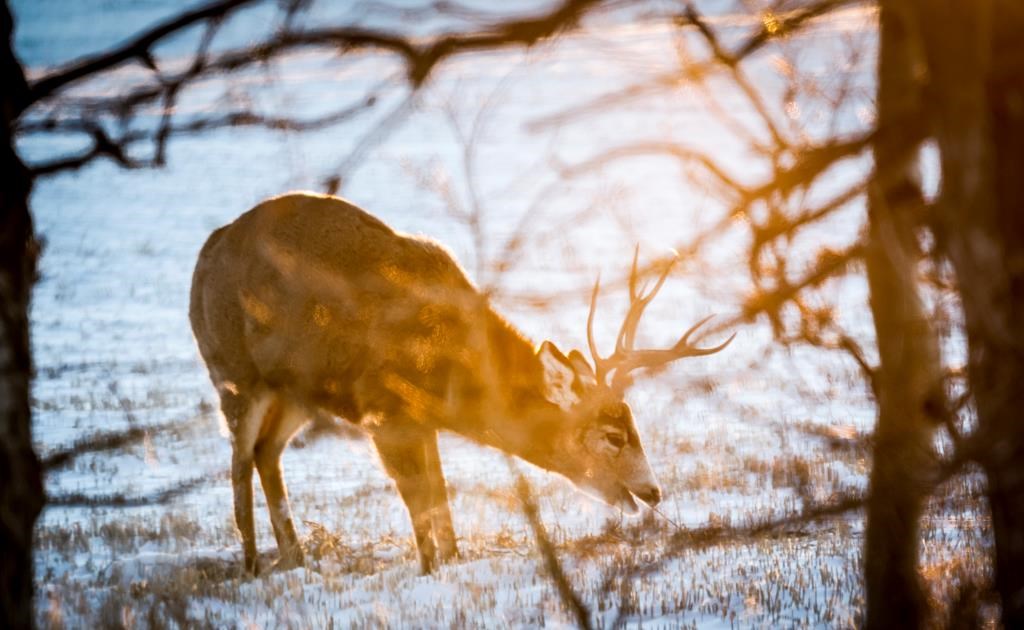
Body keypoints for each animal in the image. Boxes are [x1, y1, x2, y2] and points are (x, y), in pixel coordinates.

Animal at [190, 192, 737, 577]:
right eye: (613, 435)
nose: (654, 491)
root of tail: (207, 251)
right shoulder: (382, 411)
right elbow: (418, 497)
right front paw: (429, 568)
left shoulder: (420, 420)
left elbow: (440, 491)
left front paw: (454, 561)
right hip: (233, 373)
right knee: (239, 462)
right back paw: (253, 565)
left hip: (295, 394)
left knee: (266, 454)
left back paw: (296, 559)